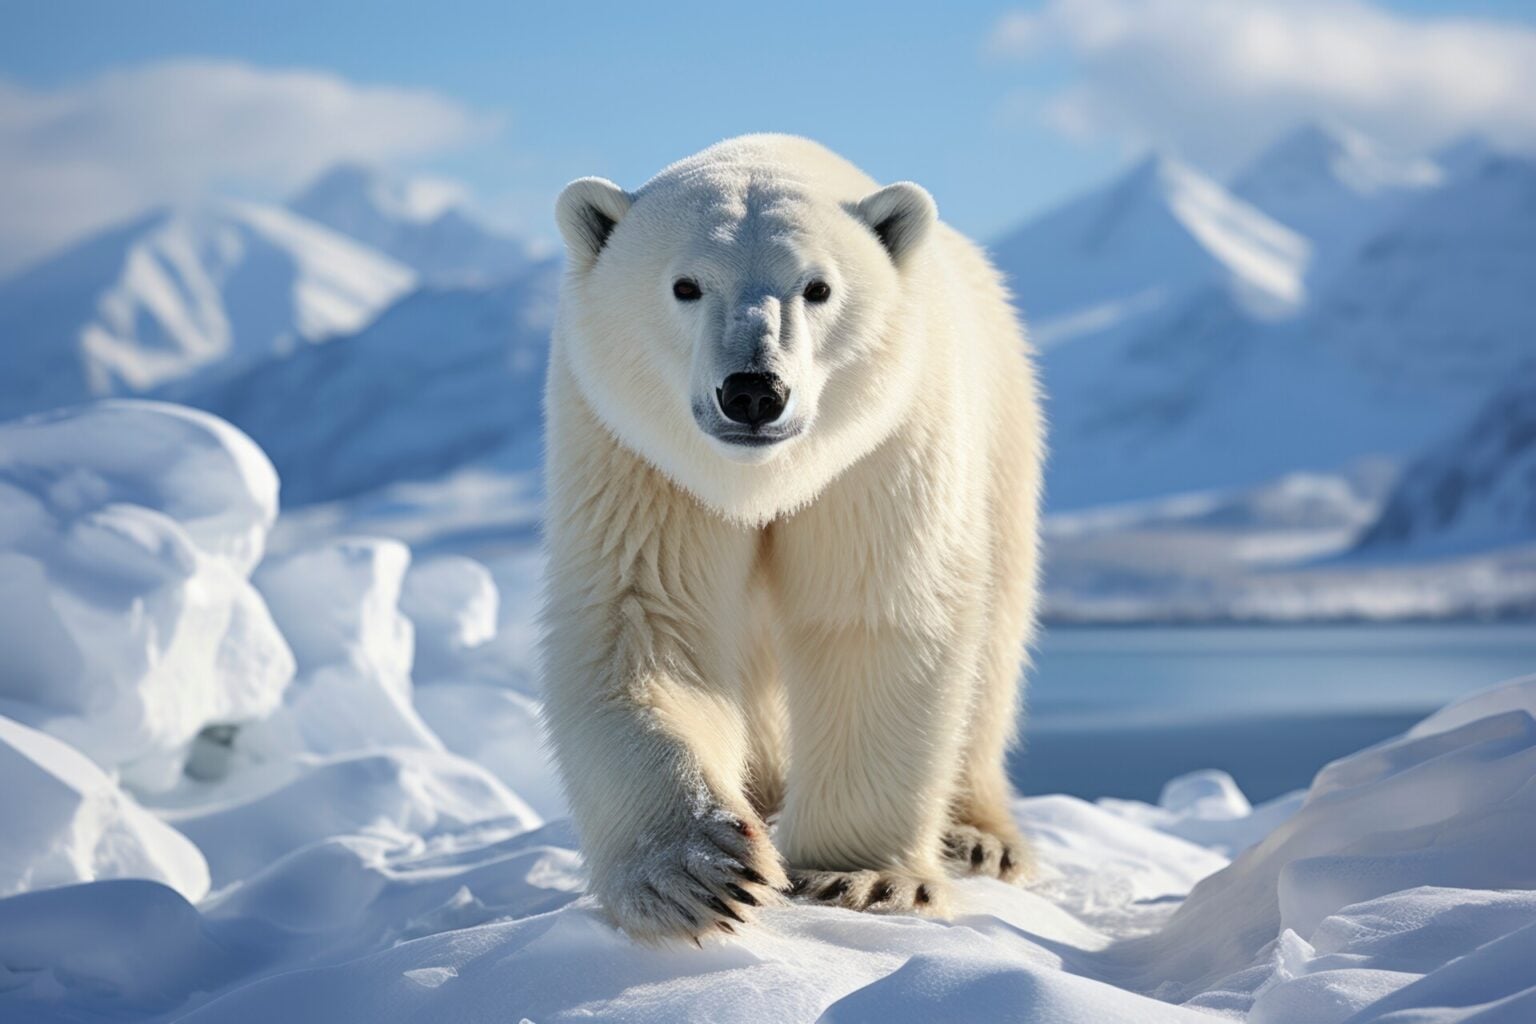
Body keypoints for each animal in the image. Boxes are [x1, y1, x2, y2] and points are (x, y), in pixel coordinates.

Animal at [541, 135, 1044, 944]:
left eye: (817, 287)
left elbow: (874, 618)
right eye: (685, 284)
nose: (753, 391)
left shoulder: (886, 448)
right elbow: (644, 619)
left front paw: (860, 875)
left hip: (1003, 439)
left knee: (994, 640)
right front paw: (695, 872)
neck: (763, 481)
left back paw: (979, 836)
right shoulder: (637, 457)